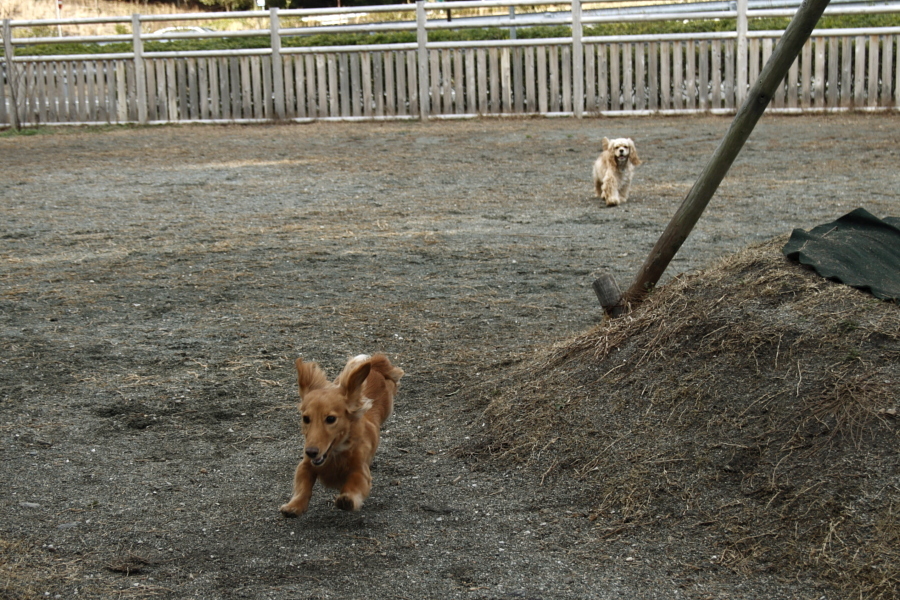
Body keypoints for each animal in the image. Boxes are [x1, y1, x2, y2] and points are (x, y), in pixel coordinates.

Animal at [280, 352, 402, 516]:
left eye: (330, 419)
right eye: (306, 418)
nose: (311, 452)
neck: (335, 454)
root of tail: (376, 366)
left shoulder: (361, 470)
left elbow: (354, 483)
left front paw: (347, 499)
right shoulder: (306, 465)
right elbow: (302, 485)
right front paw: (294, 505)